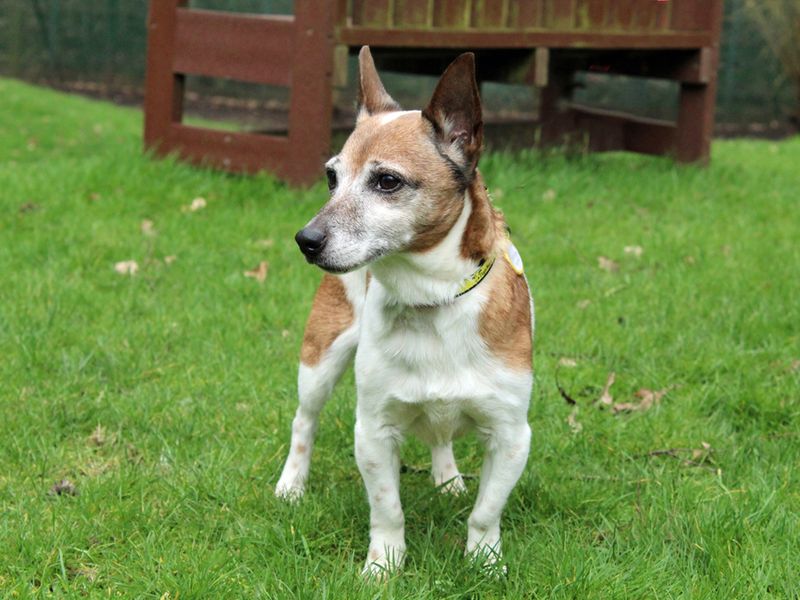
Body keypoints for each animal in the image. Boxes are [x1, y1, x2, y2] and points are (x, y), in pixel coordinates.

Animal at [276, 48, 532, 576]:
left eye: (387, 181)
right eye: (331, 177)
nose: (305, 240)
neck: (432, 298)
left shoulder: (512, 435)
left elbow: (486, 510)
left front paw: (485, 561)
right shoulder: (373, 431)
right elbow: (387, 508)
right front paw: (383, 566)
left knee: (440, 435)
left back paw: (447, 476)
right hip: (321, 359)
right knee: (304, 421)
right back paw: (291, 485)